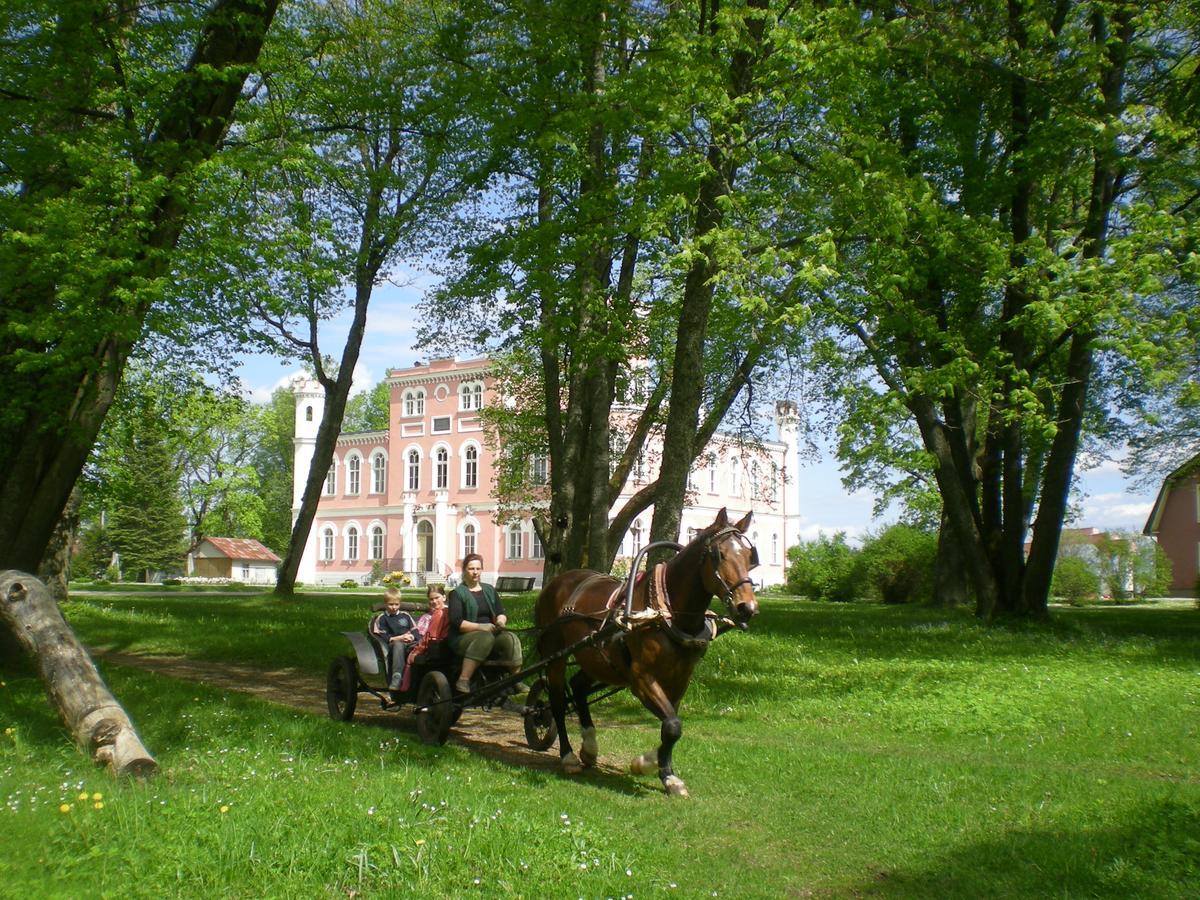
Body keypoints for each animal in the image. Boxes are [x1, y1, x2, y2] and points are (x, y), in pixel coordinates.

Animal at [535, 508, 758, 796]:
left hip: (597, 659)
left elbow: (671, 724)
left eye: (750, 555)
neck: (667, 611)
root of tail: (556, 582)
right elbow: (672, 726)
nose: (747, 607)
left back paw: (590, 747)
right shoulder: (641, 678)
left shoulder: (680, 679)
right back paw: (568, 755)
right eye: (720, 554)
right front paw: (650, 765)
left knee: (579, 686)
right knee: (558, 701)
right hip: (556, 655)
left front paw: (662, 770)